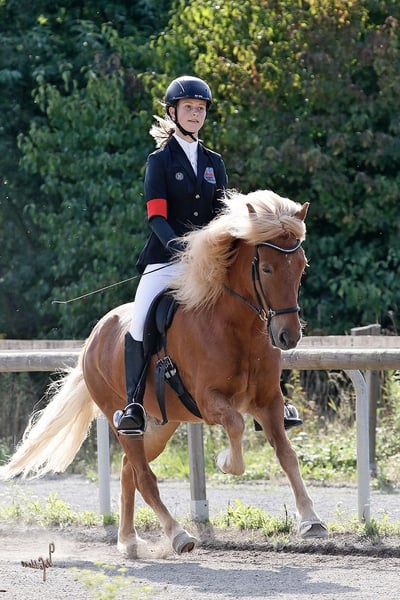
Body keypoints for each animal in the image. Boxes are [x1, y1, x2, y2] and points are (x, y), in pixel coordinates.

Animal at [0, 189, 328, 555]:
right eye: (267, 268)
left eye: (301, 267)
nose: (288, 336)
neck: (236, 328)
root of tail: (94, 336)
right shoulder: (210, 401)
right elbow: (235, 425)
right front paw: (225, 462)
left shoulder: (269, 402)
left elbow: (287, 455)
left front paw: (311, 520)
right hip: (122, 418)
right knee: (143, 476)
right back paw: (178, 535)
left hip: (160, 425)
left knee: (129, 470)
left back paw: (129, 541)